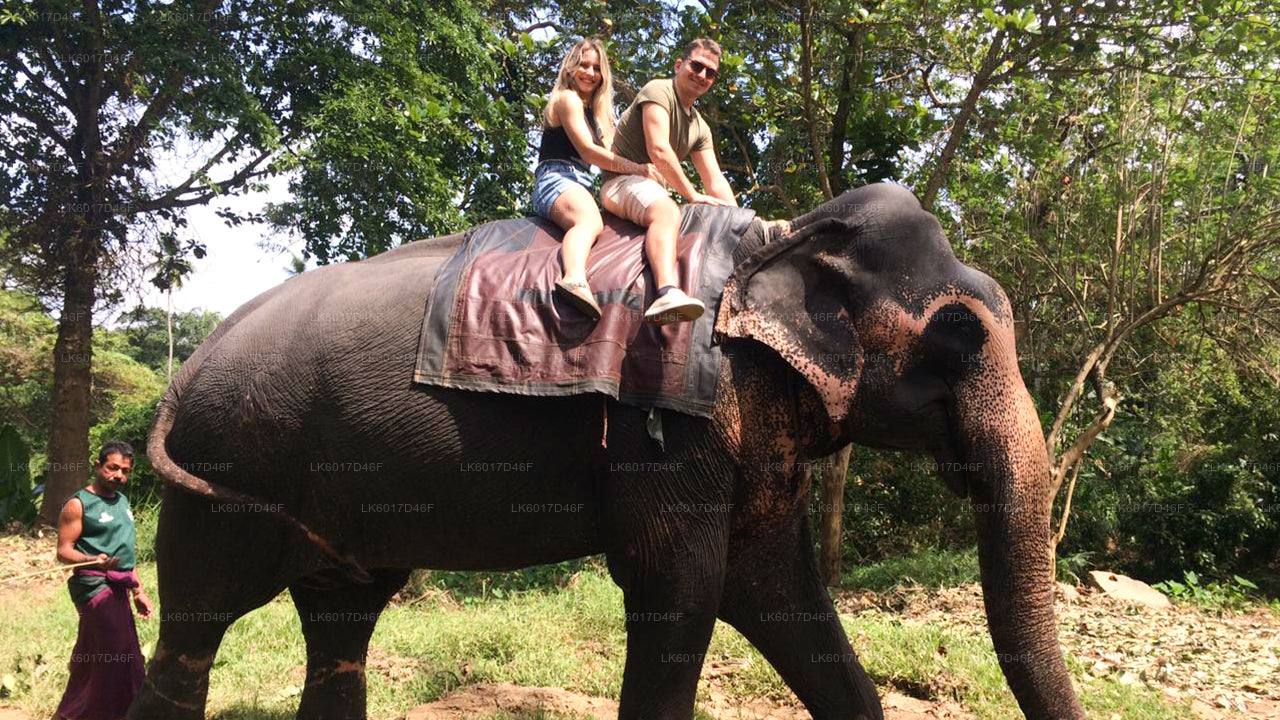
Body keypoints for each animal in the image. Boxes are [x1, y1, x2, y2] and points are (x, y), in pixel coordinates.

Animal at [132, 182, 1085, 720]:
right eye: (959, 333)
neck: (778, 236)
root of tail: (191, 367)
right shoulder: (667, 422)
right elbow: (682, 590)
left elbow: (778, 591)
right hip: (226, 467)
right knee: (193, 630)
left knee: (341, 627)